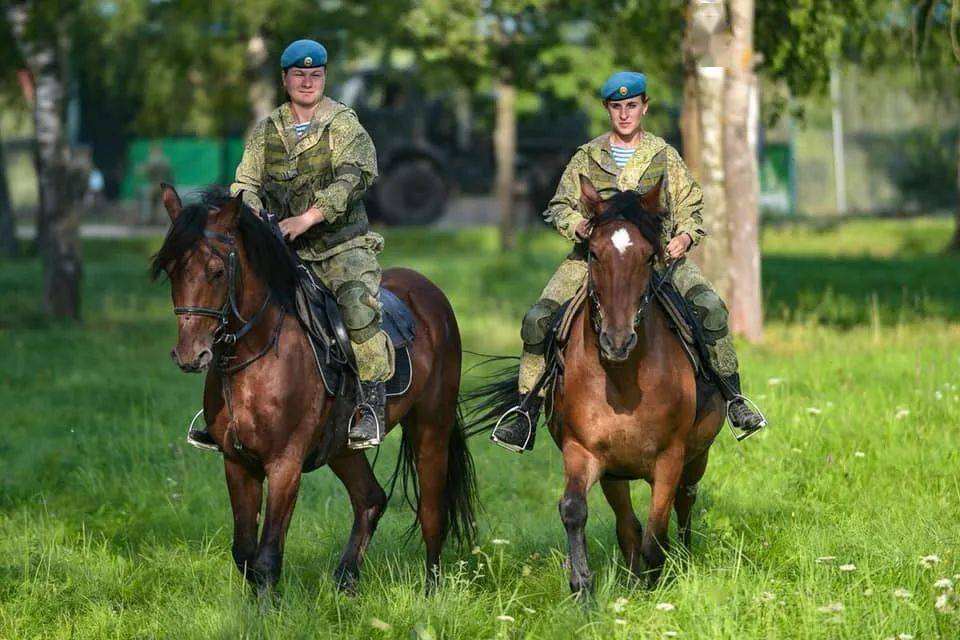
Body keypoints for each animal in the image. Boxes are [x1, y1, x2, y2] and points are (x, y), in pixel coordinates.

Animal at [150, 186, 476, 600]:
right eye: (172, 270)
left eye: (217, 271)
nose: (191, 356)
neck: (259, 353)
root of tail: (432, 295)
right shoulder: (237, 462)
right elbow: (244, 552)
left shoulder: (285, 463)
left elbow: (267, 555)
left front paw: (267, 610)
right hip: (341, 447)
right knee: (370, 499)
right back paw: (345, 583)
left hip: (431, 426)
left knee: (433, 513)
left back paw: (430, 592)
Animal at [468, 175, 724, 596]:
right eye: (594, 255)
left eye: (648, 257)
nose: (616, 341)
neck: (624, 381)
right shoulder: (584, 451)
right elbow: (576, 510)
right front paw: (584, 588)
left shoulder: (670, 458)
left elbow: (657, 532)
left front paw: (653, 588)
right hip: (615, 476)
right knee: (628, 525)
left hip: (695, 457)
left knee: (685, 504)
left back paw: (682, 559)